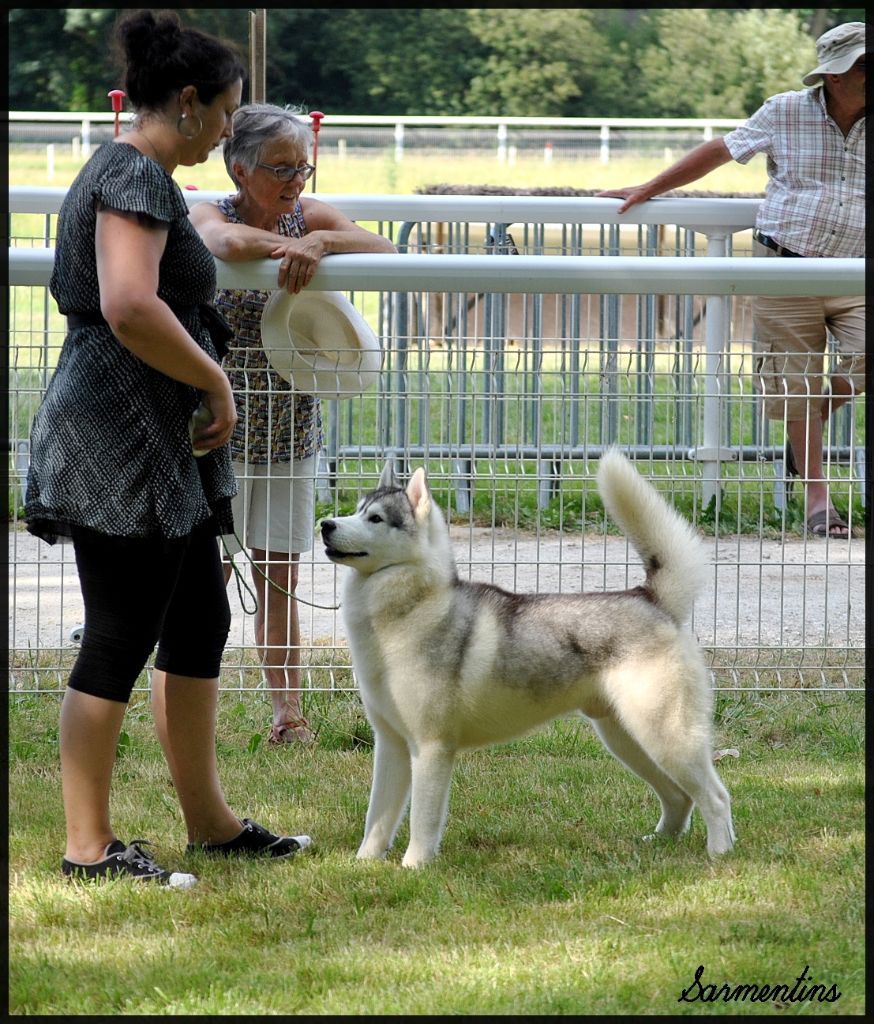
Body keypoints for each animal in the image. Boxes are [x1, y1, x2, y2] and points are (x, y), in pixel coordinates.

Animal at [317, 452, 736, 868]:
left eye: (375, 518)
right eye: (355, 510)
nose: (325, 524)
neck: (406, 613)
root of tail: (649, 598)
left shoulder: (432, 748)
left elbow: (423, 819)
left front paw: (414, 867)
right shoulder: (391, 745)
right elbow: (377, 817)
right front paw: (364, 863)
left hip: (666, 737)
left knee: (715, 796)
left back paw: (720, 852)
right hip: (627, 739)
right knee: (679, 796)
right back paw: (661, 842)